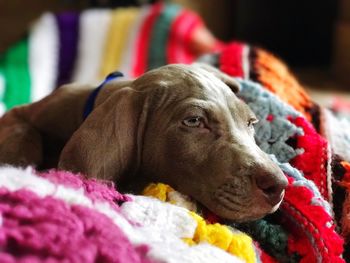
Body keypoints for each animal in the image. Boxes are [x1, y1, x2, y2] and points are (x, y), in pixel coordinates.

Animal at [0, 64, 288, 223]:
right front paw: (19, 171)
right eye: (194, 121)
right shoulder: (18, 114)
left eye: (251, 122)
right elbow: (23, 134)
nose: (278, 186)